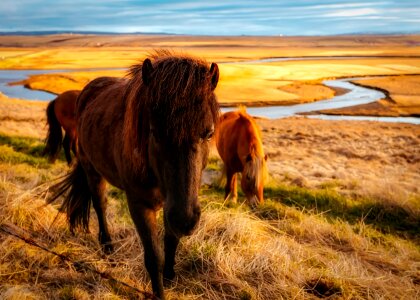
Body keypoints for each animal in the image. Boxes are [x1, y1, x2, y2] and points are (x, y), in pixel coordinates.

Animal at [48, 50, 220, 298]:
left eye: (209, 133)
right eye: (155, 132)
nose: (185, 220)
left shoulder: (173, 203)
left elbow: (171, 240)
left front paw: (170, 277)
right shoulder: (140, 205)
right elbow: (153, 257)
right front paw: (159, 292)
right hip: (92, 170)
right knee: (100, 205)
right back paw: (108, 248)